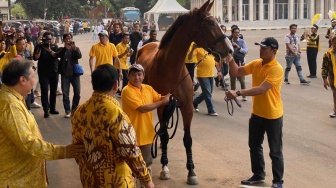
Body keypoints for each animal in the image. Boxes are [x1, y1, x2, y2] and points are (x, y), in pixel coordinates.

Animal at [135, 0, 232, 185]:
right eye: (210, 23)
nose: (229, 50)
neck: (172, 68)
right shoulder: (162, 106)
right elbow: (165, 135)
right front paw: (165, 168)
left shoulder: (186, 107)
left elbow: (187, 139)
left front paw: (191, 172)